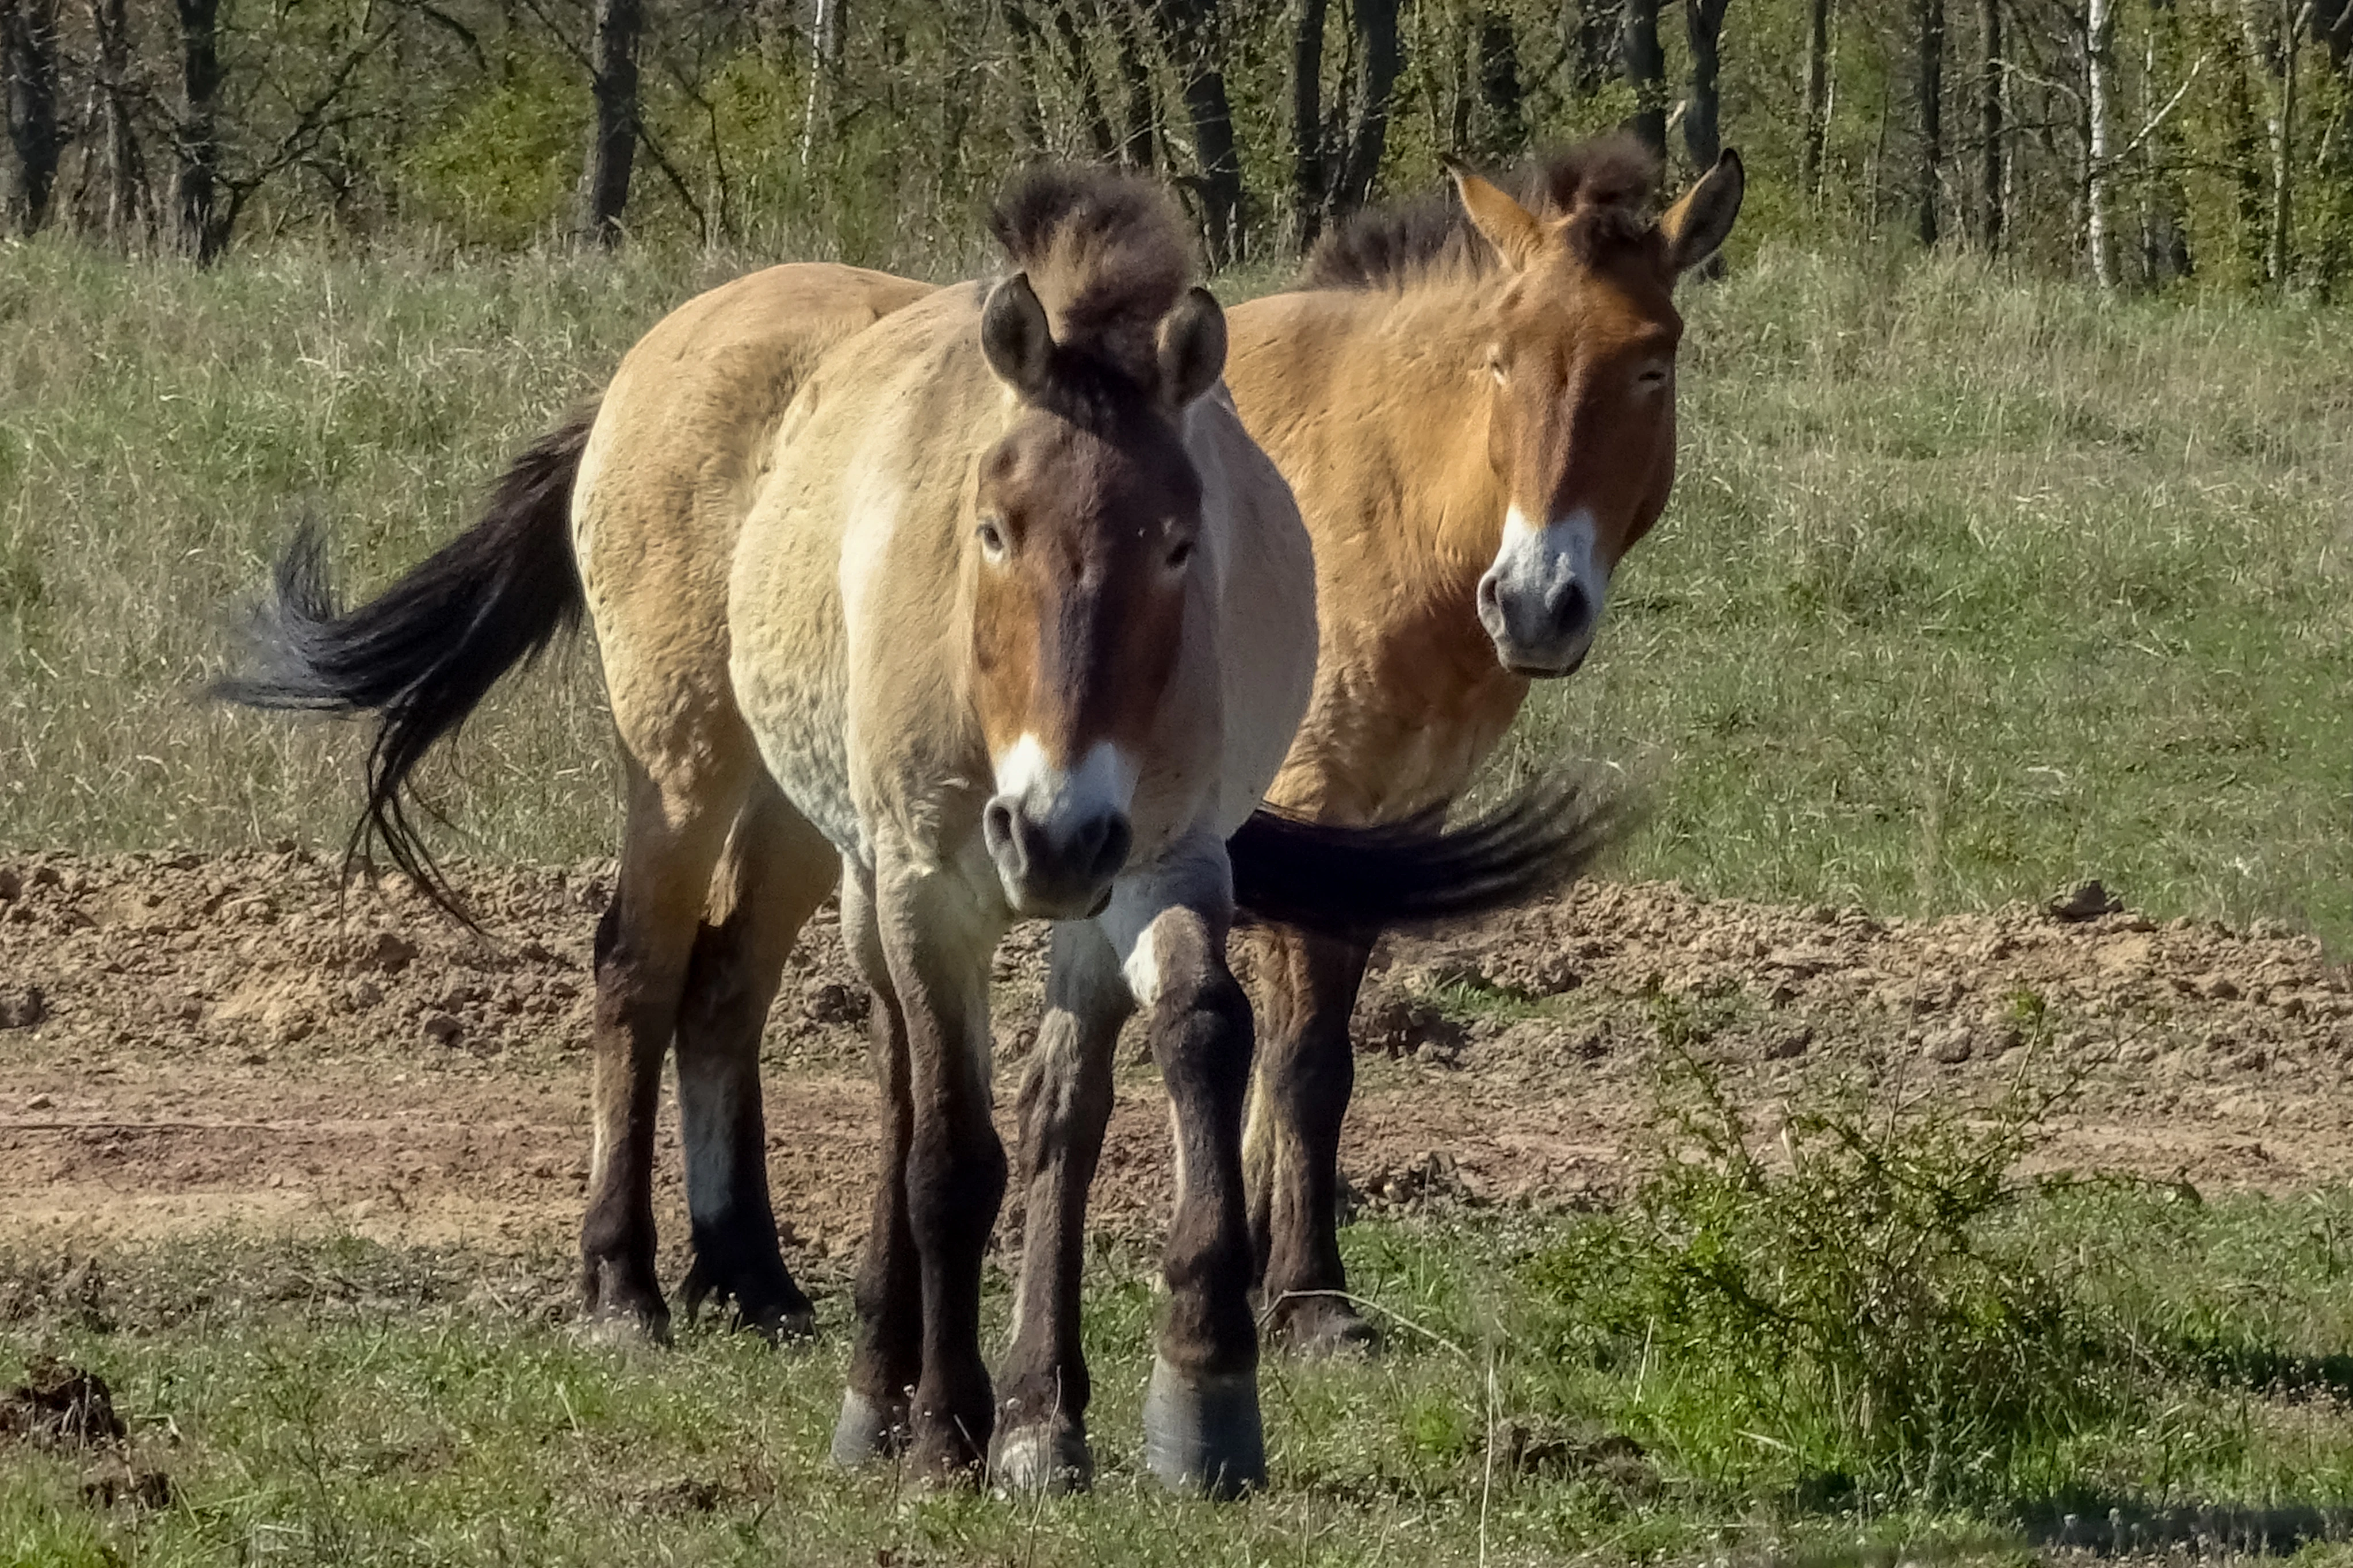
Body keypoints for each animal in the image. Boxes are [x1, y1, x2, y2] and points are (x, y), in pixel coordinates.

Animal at [221, 167, 1621, 1496]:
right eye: (991, 528)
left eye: (1180, 542)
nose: (1049, 834)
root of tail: (646, 365)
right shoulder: (934, 887)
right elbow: (953, 1153)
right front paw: (950, 1430)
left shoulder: (1160, 861)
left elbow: (1162, 1061)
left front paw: (1145, 1399)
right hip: (698, 771)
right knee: (657, 974)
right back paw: (657, 1303)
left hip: (819, 834)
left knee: (766, 1000)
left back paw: (776, 1294)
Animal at [1214, 136, 1746, 1353]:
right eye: (1500, 361)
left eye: (1653, 366)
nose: (1536, 605)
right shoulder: (1312, 799)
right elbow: (1301, 1056)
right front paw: (1310, 1299)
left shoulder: (1397, 818)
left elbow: (1318, 1057)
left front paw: (1268, 1272)